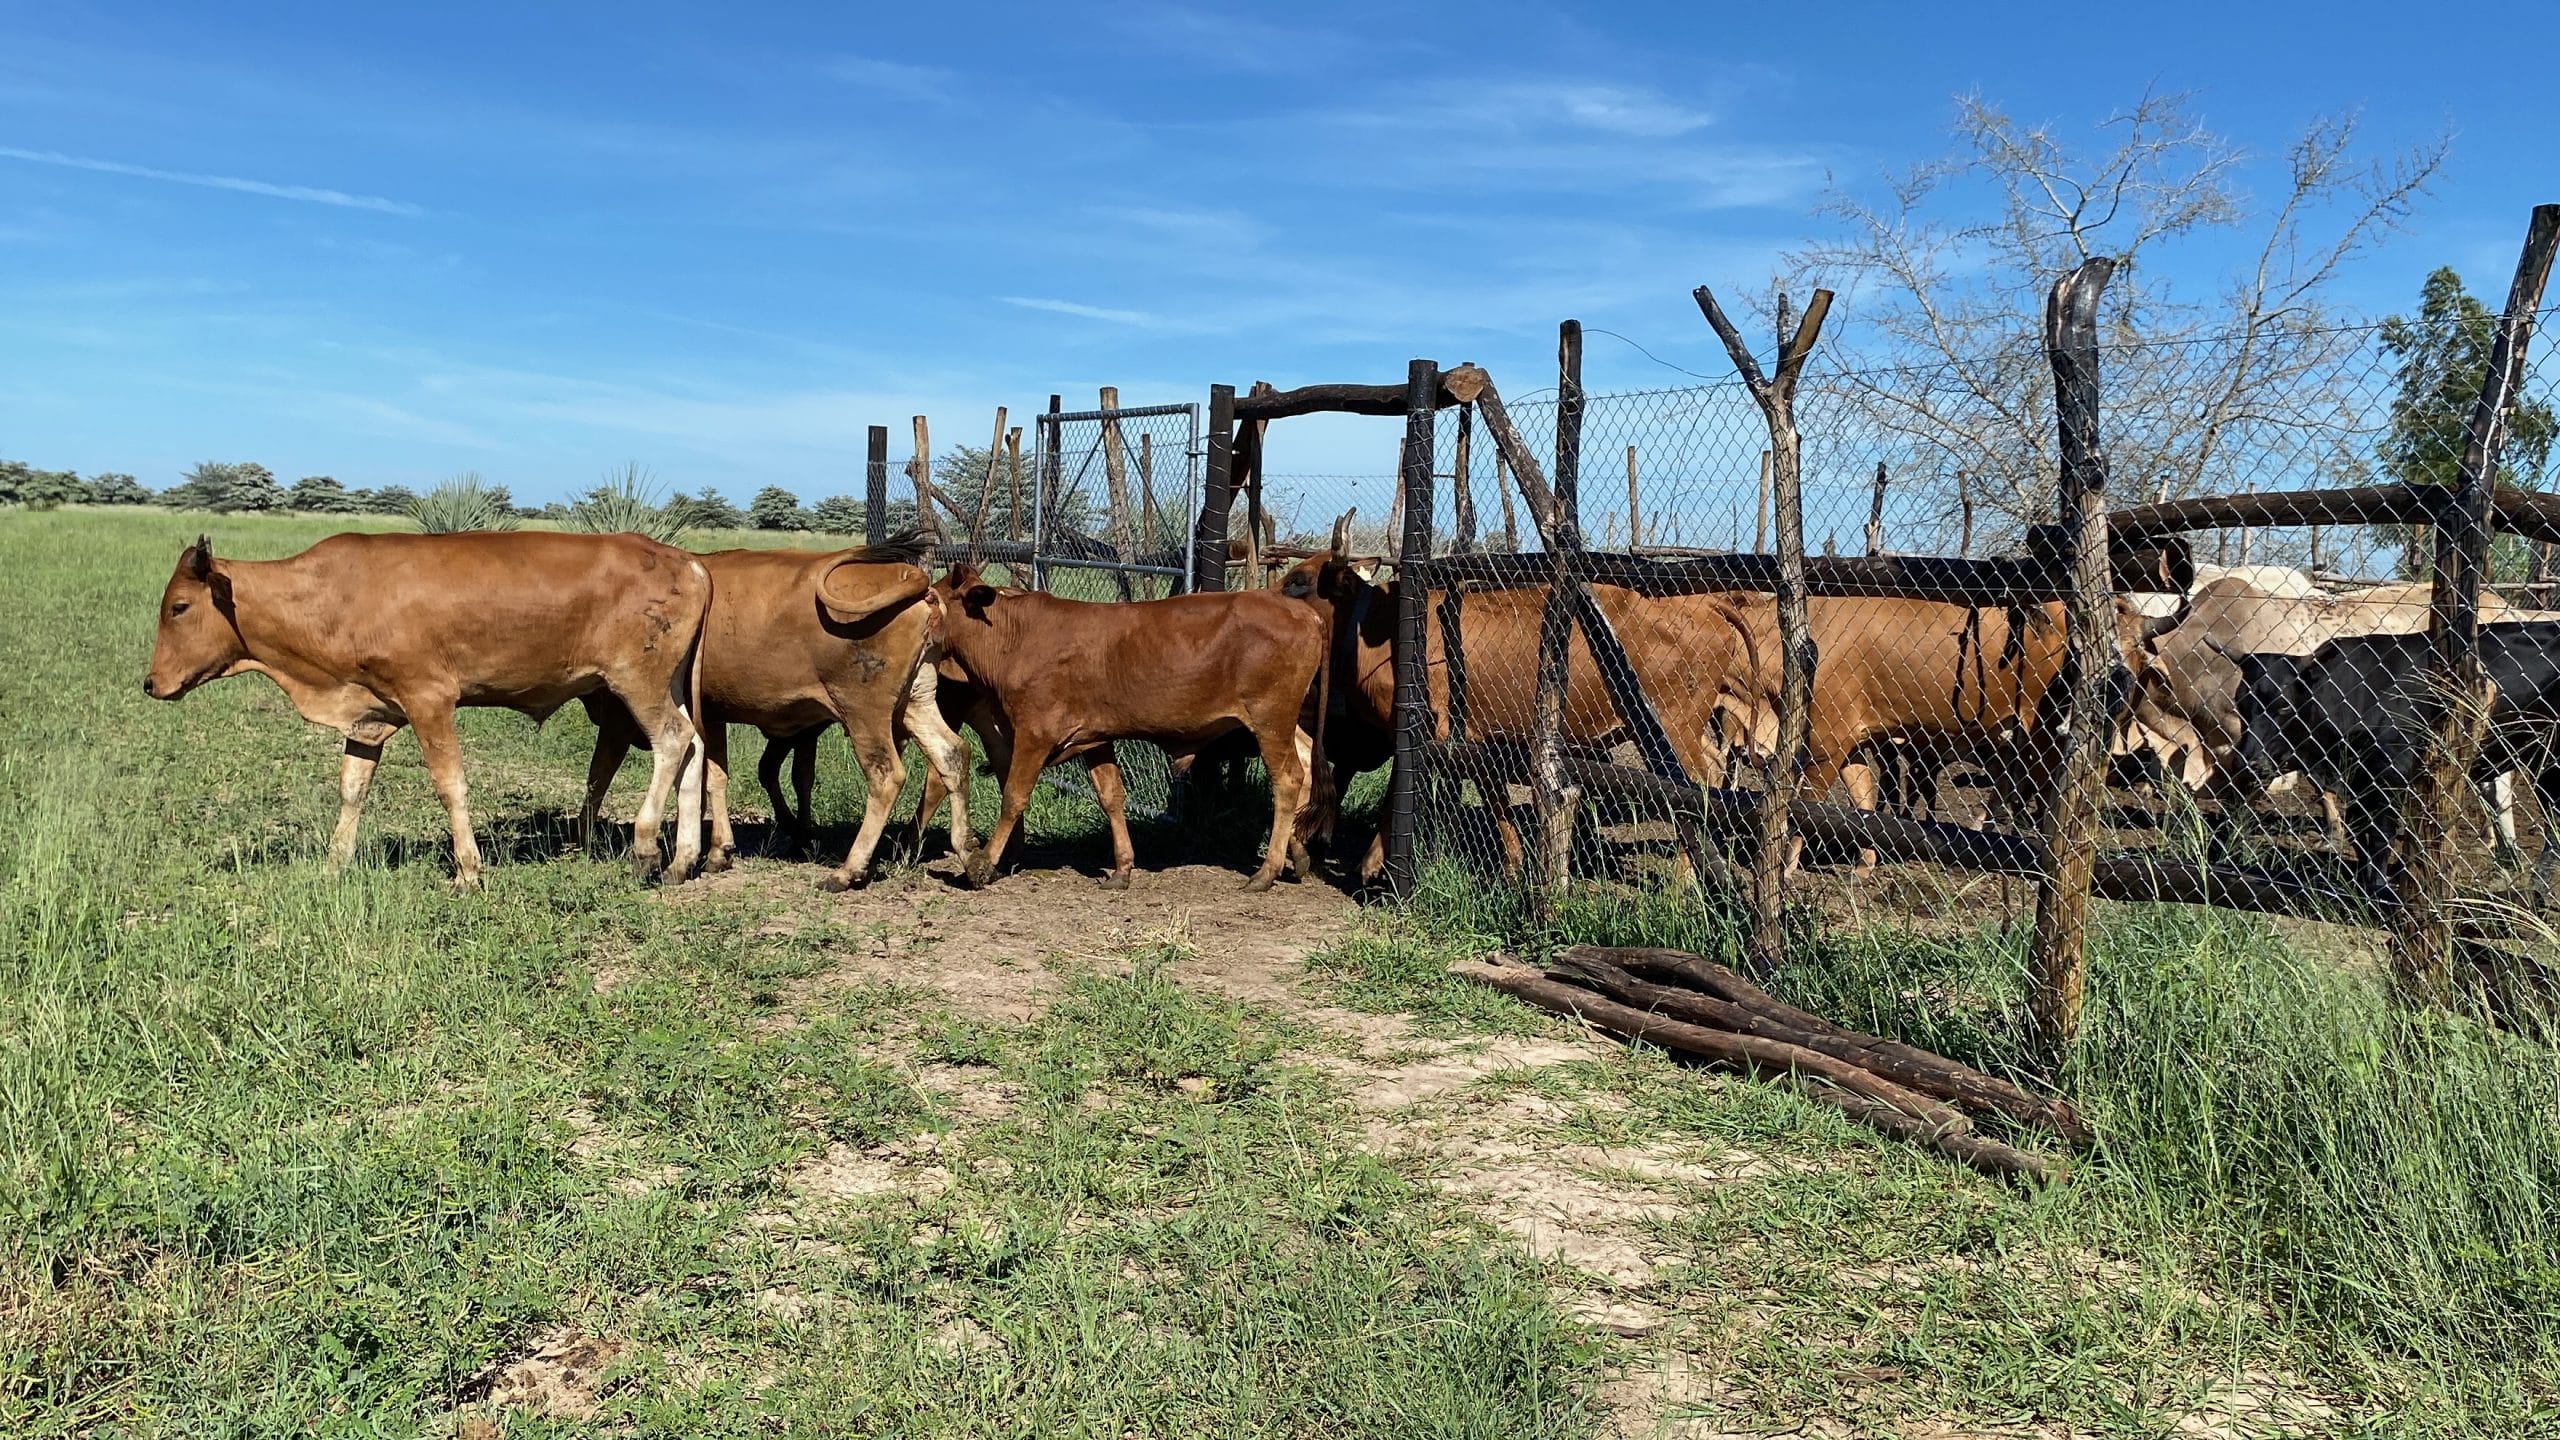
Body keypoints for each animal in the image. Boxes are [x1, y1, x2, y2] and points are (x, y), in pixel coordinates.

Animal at [141, 530, 711, 886]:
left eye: (179, 607)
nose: (150, 683)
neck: (332, 599)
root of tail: (688, 560)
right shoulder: (369, 715)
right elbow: (351, 790)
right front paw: (334, 865)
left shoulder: (428, 699)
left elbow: (449, 784)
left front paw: (467, 869)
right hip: (668, 684)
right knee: (695, 746)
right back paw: (682, 859)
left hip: (636, 681)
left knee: (671, 739)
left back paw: (646, 847)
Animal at [583, 535, 977, 886]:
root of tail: (914, 581)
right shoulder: (714, 715)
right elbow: (718, 776)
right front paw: (720, 850)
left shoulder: (662, 716)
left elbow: (618, 772)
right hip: (916, 701)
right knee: (952, 754)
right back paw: (972, 857)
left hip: (865, 713)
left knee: (885, 776)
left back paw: (849, 870)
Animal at [926, 561, 1331, 886]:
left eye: (931, 597)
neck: (1013, 636)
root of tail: (1301, 612)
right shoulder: (1094, 739)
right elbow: (1111, 796)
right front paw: (1122, 869)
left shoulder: (1034, 734)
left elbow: (1013, 797)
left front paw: (985, 863)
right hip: (1285, 722)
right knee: (1307, 768)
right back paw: (1298, 854)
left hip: (1270, 718)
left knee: (1288, 780)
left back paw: (1266, 871)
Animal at [2232, 625, 2560, 901]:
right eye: (2240, 704)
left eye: (2283, 707)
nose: (2249, 762)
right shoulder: (2359, 783)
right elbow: (2358, 833)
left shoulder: (2389, 776)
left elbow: (2380, 836)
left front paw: (2378, 889)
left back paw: (2538, 892)